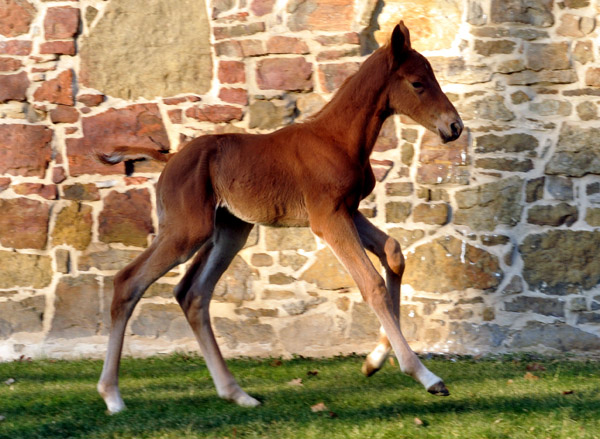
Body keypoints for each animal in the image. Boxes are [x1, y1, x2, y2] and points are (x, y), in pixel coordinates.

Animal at [98, 22, 464, 414]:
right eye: (417, 83)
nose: (454, 127)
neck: (337, 138)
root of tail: (171, 159)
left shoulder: (348, 211)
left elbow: (394, 253)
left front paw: (373, 361)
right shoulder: (328, 218)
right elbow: (372, 284)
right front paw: (425, 376)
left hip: (230, 231)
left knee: (192, 294)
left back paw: (236, 393)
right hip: (186, 231)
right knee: (128, 282)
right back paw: (112, 396)